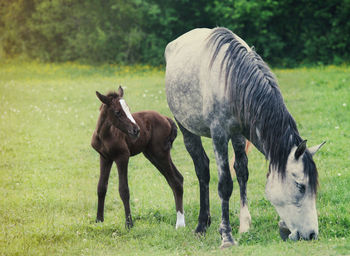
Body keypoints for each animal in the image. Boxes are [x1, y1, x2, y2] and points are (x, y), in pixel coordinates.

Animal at [91, 86, 186, 230]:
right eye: (117, 112)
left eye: (129, 109)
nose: (136, 130)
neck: (105, 135)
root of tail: (166, 118)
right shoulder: (105, 157)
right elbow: (101, 187)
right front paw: (99, 220)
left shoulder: (122, 157)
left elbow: (124, 190)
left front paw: (129, 224)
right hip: (152, 155)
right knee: (177, 178)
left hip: (160, 153)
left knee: (175, 181)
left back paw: (180, 224)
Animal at [165, 28, 326, 248]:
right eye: (301, 186)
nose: (311, 235)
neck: (232, 81)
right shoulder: (219, 135)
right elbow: (225, 184)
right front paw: (226, 237)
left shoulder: (239, 133)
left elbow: (242, 172)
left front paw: (244, 226)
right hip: (186, 129)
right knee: (202, 170)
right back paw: (201, 225)